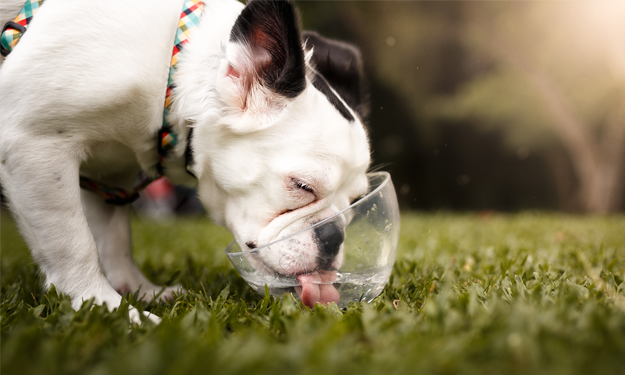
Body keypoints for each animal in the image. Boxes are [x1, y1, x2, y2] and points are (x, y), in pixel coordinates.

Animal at [0, 0, 370, 324]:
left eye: (355, 202)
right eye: (302, 186)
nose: (333, 236)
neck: (172, 73)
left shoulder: (110, 173)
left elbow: (114, 236)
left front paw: (134, 290)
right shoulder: (35, 145)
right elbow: (74, 245)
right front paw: (104, 307)